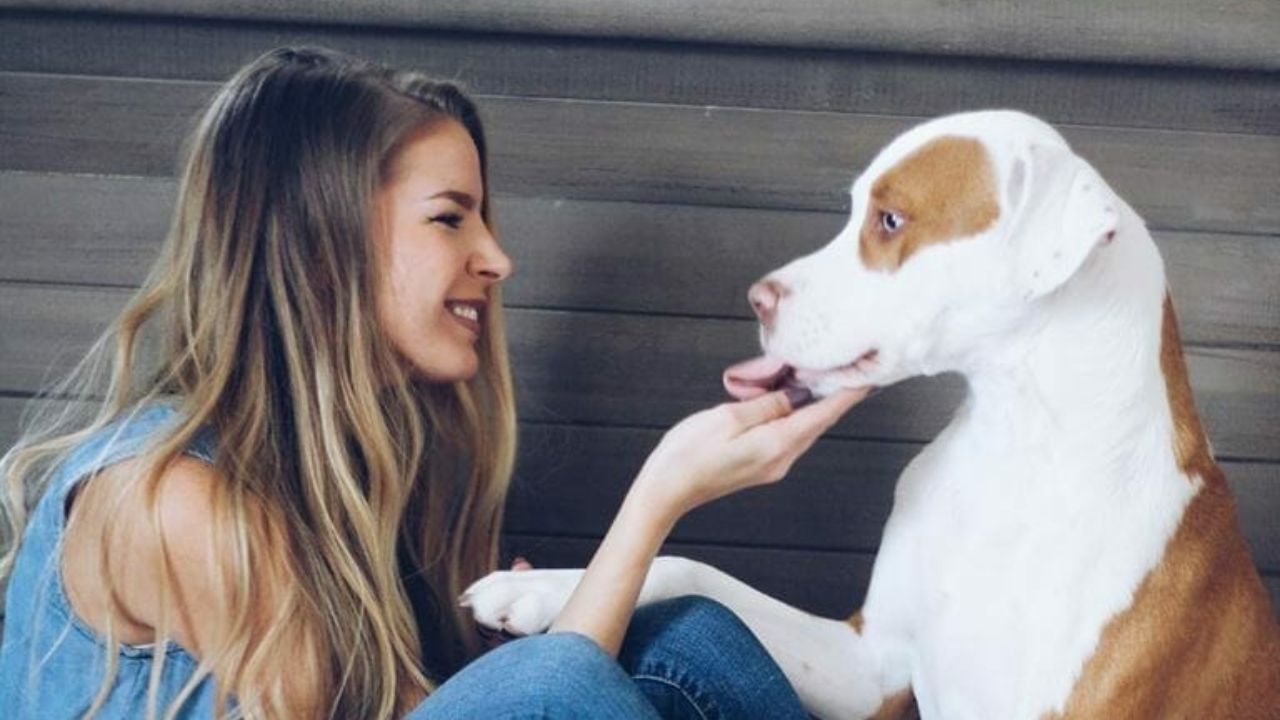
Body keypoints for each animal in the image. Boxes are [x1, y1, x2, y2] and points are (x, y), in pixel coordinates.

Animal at [463, 109, 1280, 712]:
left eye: (889, 220)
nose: (757, 299)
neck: (1015, 444)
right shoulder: (870, 665)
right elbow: (686, 564)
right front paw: (534, 590)